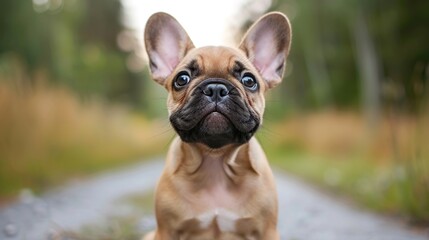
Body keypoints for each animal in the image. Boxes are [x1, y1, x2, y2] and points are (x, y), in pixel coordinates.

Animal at [144, 10, 290, 239]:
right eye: (182, 79)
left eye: (249, 80)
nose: (215, 88)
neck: (215, 161)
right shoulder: (166, 231)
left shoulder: (266, 231)